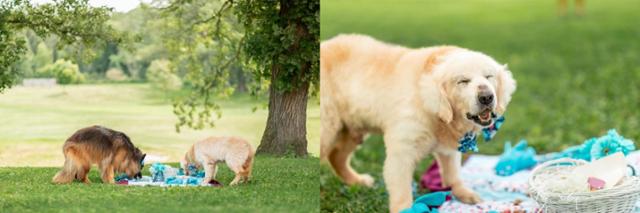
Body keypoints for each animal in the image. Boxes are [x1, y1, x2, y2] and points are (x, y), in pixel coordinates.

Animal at [320, 34, 516, 212]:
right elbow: (402, 192)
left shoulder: (449, 148)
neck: (437, 115)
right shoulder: (402, 152)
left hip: (354, 129)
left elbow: (453, 173)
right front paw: (405, 208)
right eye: (463, 81)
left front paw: (463, 193)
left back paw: (357, 181)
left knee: (336, 156)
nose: (487, 97)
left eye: (489, 76)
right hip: (329, 128)